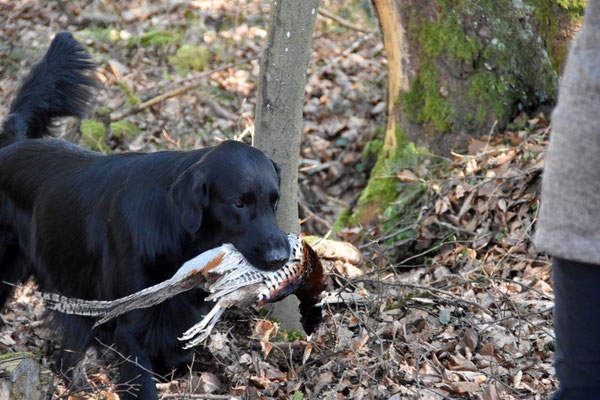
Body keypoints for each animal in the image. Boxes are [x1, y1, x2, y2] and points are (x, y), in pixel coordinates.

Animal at [0, 32, 290, 400]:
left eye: (274, 201)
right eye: (239, 203)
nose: (281, 257)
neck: (179, 240)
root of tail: (12, 144)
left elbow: (177, 355)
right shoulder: (127, 323)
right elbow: (142, 379)